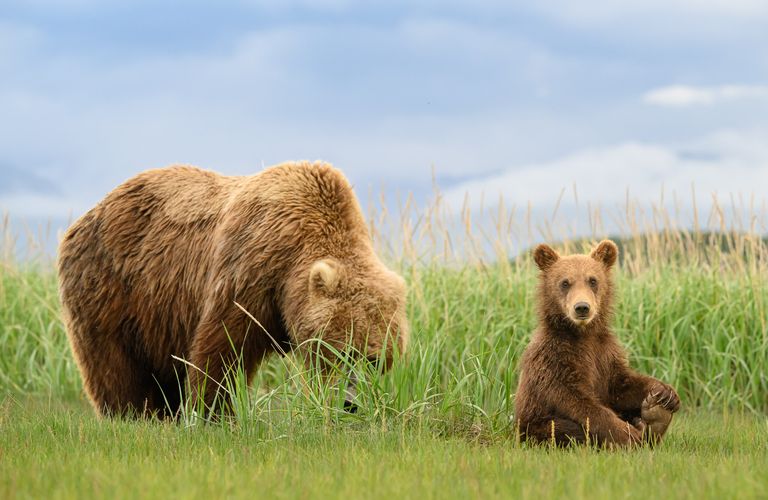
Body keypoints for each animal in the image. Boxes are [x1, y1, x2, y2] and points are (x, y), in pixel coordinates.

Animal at [57, 161, 409, 418]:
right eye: (344, 352)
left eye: (374, 359)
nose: (351, 403)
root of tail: (91, 211)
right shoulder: (253, 264)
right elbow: (224, 343)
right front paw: (214, 414)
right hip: (112, 285)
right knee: (113, 364)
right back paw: (132, 414)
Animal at [514, 240, 680, 447]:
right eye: (565, 283)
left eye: (592, 280)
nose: (582, 307)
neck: (583, 334)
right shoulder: (554, 359)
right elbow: (576, 400)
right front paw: (627, 434)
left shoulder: (605, 353)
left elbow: (621, 385)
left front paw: (665, 394)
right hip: (533, 426)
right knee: (568, 431)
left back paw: (654, 417)